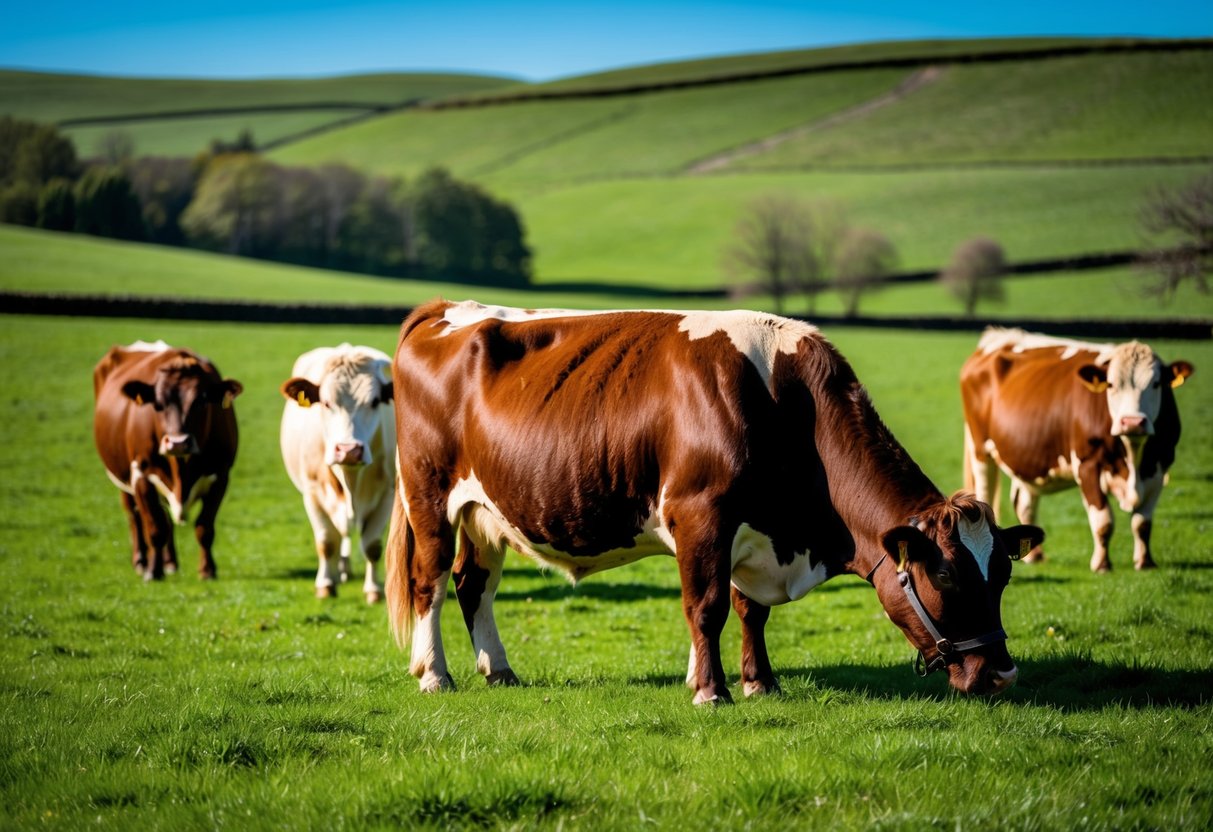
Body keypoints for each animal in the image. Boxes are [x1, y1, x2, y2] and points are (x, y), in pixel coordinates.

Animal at [92, 342, 243, 584]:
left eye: (201, 401)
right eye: (158, 404)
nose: (178, 443)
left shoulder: (220, 475)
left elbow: (204, 527)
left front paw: (207, 570)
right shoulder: (142, 475)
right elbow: (155, 528)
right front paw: (153, 572)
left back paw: (171, 562)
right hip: (121, 475)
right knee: (134, 515)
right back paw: (141, 561)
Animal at [277, 342, 393, 603]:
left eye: (375, 402)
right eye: (326, 402)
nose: (349, 450)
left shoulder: (388, 492)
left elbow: (372, 545)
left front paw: (374, 590)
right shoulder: (312, 492)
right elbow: (327, 541)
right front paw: (326, 584)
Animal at [385, 299, 1043, 703]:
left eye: (1005, 574)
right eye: (946, 575)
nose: (1001, 673)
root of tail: (444, 311)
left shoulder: (753, 533)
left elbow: (751, 610)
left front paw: (760, 683)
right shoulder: (701, 515)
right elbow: (707, 607)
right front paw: (711, 690)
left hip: (487, 513)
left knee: (474, 584)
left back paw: (499, 670)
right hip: (430, 494)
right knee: (430, 581)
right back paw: (435, 674)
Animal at [965, 329, 1193, 577]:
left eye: (1156, 384)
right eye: (1111, 385)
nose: (1132, 422)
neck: (1133, 457)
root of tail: (998, 337)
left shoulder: (1160, 466)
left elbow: (1142, 522)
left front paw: (1145, 562)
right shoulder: (1088, 465)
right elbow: (1103, 521)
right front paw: (1102, 565)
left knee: (1024, 504)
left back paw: (1035, 557)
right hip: (981, 452)